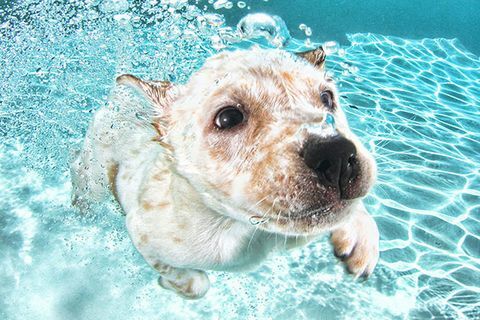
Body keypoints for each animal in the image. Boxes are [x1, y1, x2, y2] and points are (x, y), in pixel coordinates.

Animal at [71, 46, 378, 298]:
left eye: (327, 98)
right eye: (228, 118)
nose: (336, 154)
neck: (248, 229)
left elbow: (354, 208)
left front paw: (360, 240)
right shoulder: (142, 232)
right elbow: (196, 284)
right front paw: (174, 284)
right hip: (94, 170)